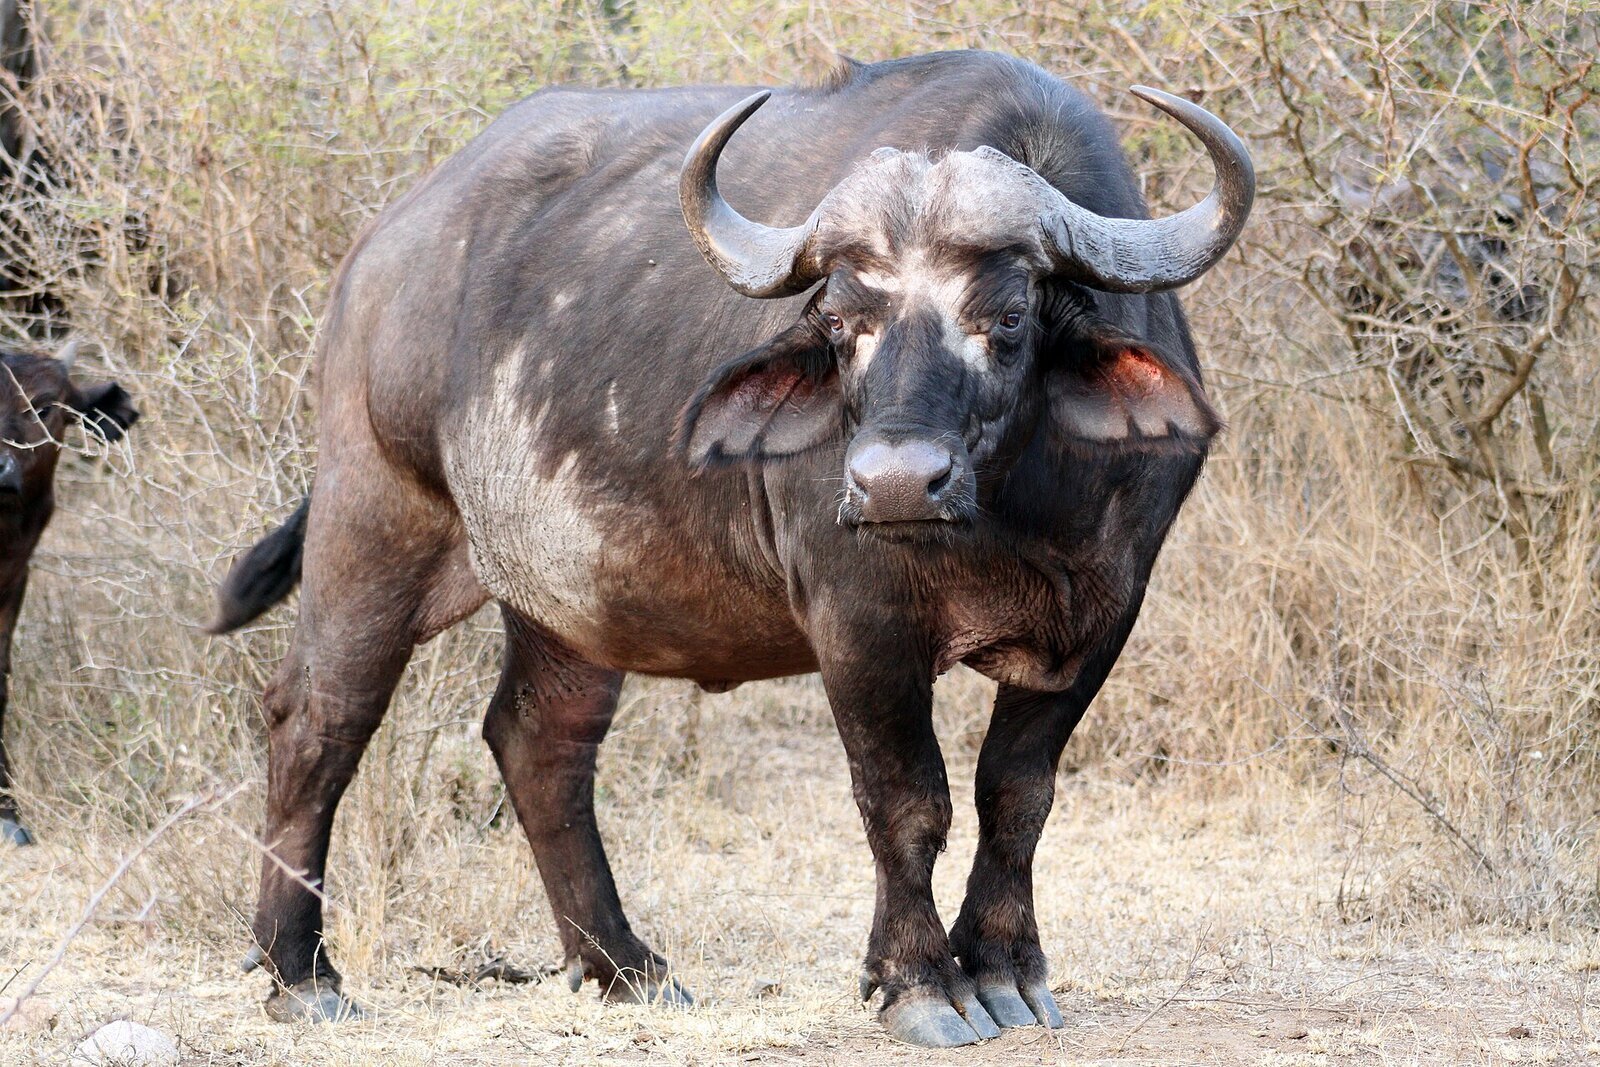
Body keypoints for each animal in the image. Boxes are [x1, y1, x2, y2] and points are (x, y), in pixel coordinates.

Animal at [212, 51, 1252, 1047]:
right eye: (841, 322)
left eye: (1006, 316)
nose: (893, 483)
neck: (1006, 514)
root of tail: (379, 255)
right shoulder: (859, 624)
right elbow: (906, 800)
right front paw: (922, 984)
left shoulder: (1102, 615)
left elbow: (1018, 794)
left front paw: (1004, 967)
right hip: (374, 512)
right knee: (317, 719)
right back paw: (301, 974)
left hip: (570, 595)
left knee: (539, 740)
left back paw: (624, 965)